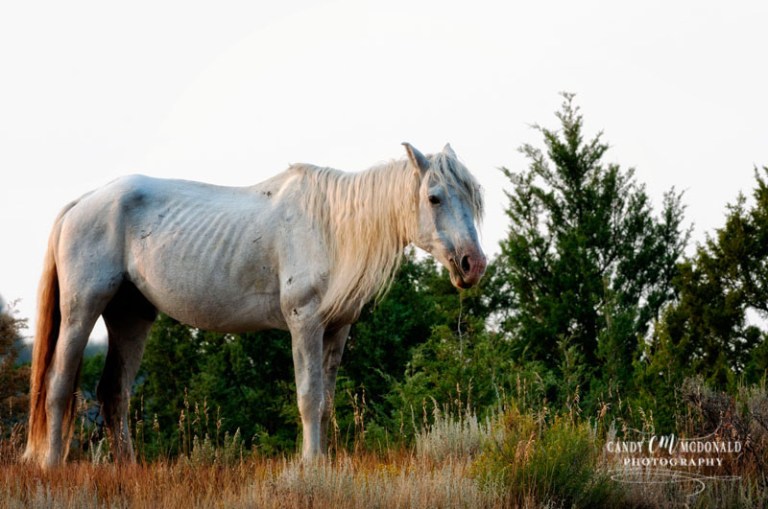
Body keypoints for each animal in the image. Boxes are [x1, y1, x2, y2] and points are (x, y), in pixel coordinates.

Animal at [23, 143, 487, 467]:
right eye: (435, 198)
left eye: (473, 197)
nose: (473, 264)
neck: (330, 226)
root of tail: (82, 203)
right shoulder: (305, 324)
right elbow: (309, 397)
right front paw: (310, 466)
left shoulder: (336, 331)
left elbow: (326, 403)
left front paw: (324, 460)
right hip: (82, 309)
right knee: (59, 385)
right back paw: (52, 466)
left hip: (131, 317)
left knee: (114, 393)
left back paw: (128, 470)